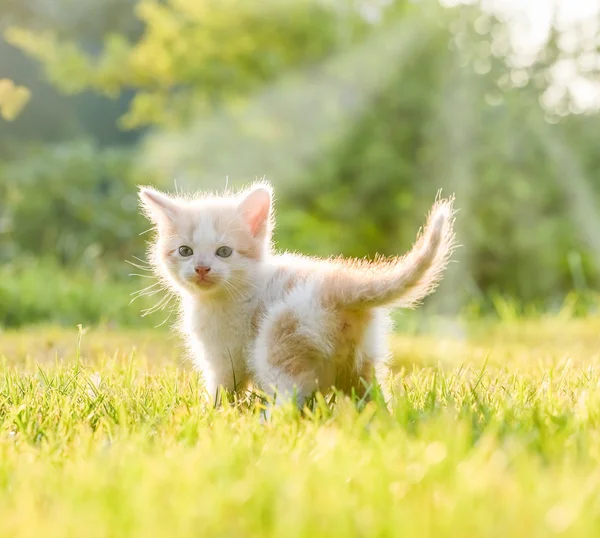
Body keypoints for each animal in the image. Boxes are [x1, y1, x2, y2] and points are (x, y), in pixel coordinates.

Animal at [137, 182, 454, 408]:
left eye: (224, 252)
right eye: (185, 251)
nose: (202, 268)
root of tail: (340, 284)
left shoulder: (225, 358)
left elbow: (223, 390)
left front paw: (210, 417)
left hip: (278, 343)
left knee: (289, 396)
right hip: (360, 362)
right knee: (370, 396)